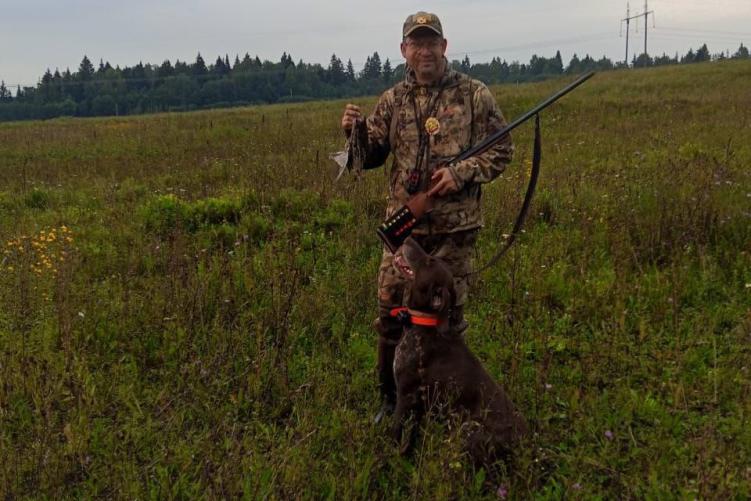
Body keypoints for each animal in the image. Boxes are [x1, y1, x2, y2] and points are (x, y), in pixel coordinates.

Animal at [390, 236, 528, 466]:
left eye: (429, 261)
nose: (409, 238)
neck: (424, 325)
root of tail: (525, 449)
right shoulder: (419, 405)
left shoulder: (406, 395)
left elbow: (394, 434)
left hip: (468, 429)